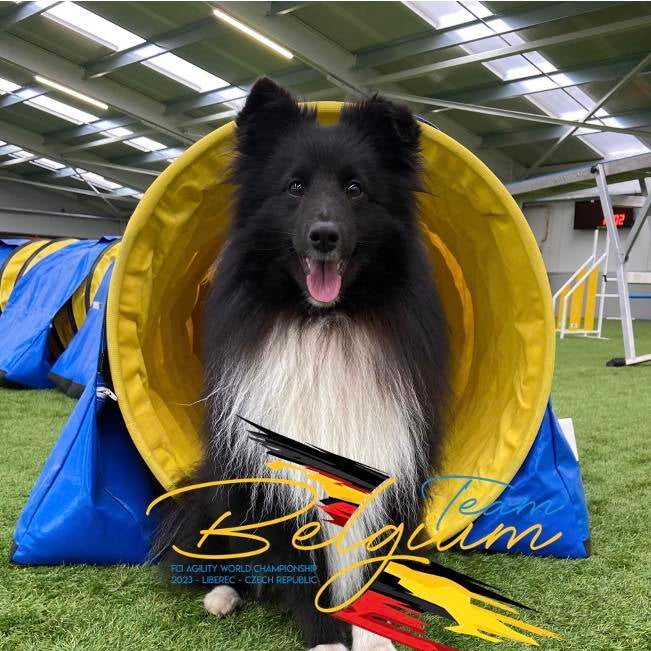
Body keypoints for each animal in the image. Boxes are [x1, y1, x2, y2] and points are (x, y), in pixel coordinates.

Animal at [156, 78, 449, 651]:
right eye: (294, 187)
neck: (324, 325)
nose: (324, 235)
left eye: (355, 189)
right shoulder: (279, 477)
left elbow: (374, 567)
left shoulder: (389, 465)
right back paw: (222, 596)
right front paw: (329, 640)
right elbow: (302, 567)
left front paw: (376, 637)